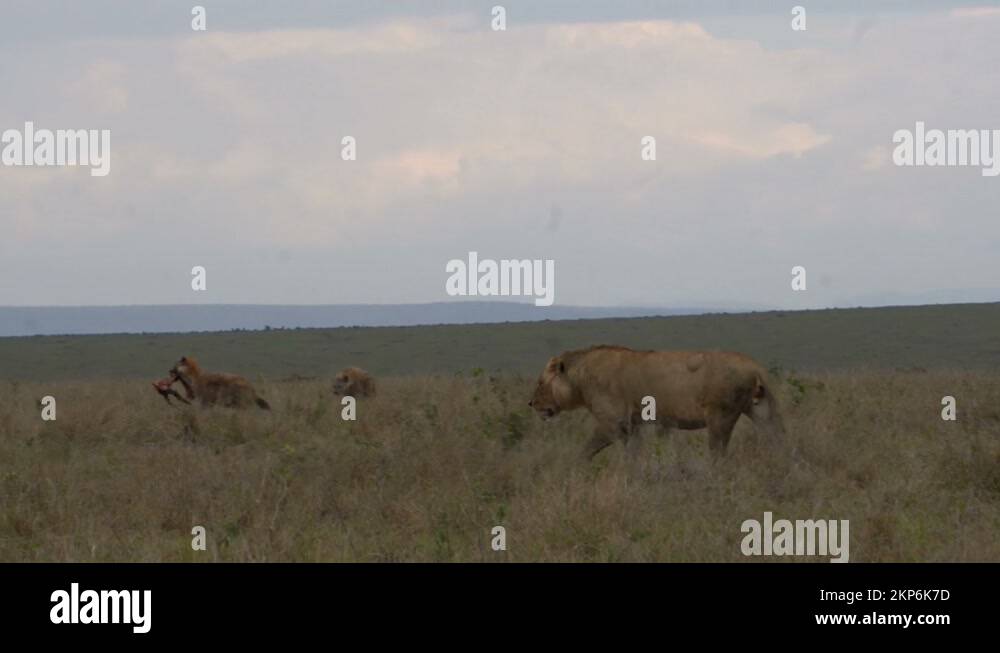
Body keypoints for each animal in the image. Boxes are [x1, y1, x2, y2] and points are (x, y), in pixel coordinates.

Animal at [529, 345, 784, 459]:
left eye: (540, 383)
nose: (531, 404)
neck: (580, 379)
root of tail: (755, 366)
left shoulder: (613, 424)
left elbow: (585, 451)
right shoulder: (632, 426)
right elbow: (633, 456)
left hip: (720, 417)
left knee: (718, 453)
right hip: (762, 410)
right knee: (779, 439)